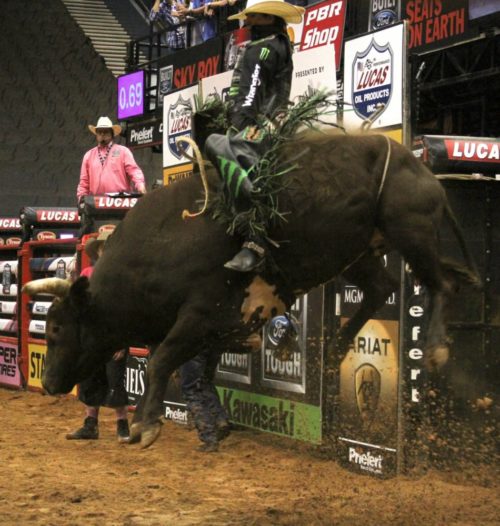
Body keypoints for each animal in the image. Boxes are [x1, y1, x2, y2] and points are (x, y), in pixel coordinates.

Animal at [21, 132, 478, 450]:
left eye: (56, 329)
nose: (50, 383)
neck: (158, 245)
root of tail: (416, 164)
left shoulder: (201, 313)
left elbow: (159, 361)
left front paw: (145, 426)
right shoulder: (217, 328)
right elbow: (184, 366)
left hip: (410, 228)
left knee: (442, 282)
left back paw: (436, 347)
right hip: (360, 250)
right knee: (382, 288)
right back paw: (336, 348)